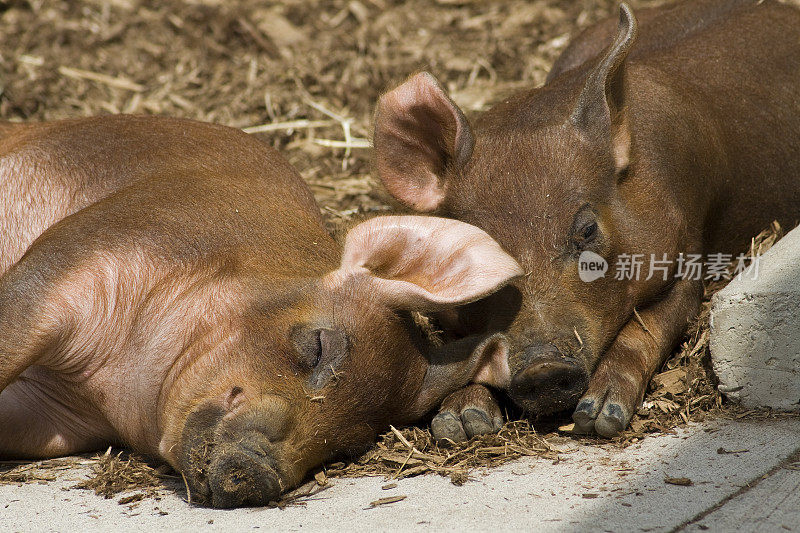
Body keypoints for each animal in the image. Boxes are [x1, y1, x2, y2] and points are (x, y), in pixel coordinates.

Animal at [0, 114, 520, 504]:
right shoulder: (79, 258)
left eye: (351, 443)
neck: (109, 383)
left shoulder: (54, 417)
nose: (254, 472)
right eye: (318, 346)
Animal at [374, 1, 800, 436]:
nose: (543, 369)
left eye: (588, 228)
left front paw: (599, 418)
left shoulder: (686, 258)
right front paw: (461, 424)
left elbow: (645, 330)